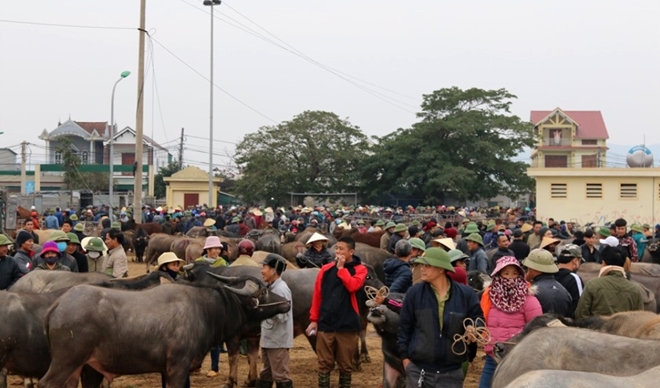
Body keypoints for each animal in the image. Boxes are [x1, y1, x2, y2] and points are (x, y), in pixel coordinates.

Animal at [37, 274, 290, 388]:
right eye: (264, 292)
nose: (287, 302)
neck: (204, 309)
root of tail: (58, 304)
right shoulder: (178, 368)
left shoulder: (165, 371)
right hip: (65, 363)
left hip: (81, 369)